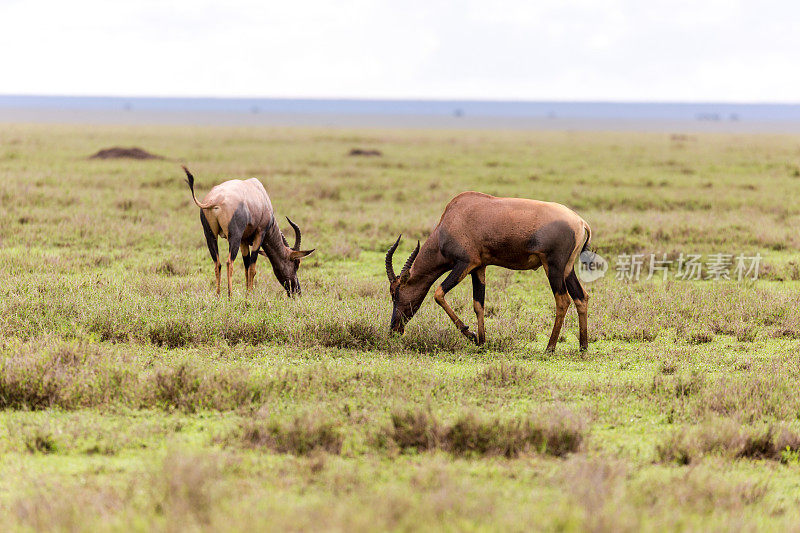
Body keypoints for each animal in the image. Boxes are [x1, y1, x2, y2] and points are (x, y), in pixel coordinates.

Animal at [184, 166, 316, 298]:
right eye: (296, 263)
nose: (296, 291)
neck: (261, 194)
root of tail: (215, 199)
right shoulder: (259, 234)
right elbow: (252, 268)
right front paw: (251, 295)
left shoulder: (244, 240)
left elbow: (246, 266)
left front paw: (247, 294)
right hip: (234, 237)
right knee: (229, 263)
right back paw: (230, 296)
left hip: (210, 235)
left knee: (218, 264)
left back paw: (218, 296)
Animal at [384, 190, 592, 350]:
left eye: (395, 292)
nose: (394, 330)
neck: (455, 217)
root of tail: (581, 222)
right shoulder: (479, 267)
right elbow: (478, 304)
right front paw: (482, 341)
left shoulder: (465, 263)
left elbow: (438, 293)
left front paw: (470, 334)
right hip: (567, 269)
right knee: (581, 297)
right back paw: (583, 347)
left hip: (553, 266)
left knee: (563, 300)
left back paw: (550, 347)